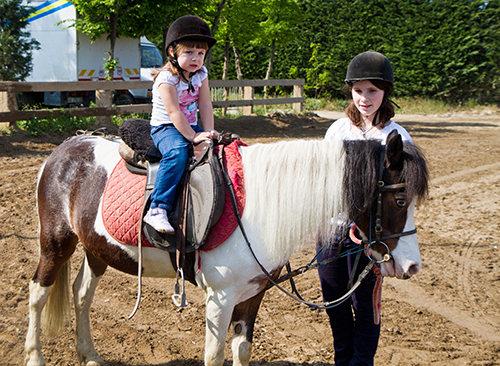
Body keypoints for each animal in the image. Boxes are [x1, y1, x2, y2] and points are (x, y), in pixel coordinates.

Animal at [25, 132, 428, 366]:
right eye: (400, 199)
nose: (411, 267)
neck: (257, 205)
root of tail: (63, 151)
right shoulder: (220, 299)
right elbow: (214, 355)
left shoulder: (253, 294)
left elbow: (242, 349)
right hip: (56, 242)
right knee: (38, 294)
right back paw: (35, 357)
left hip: (97, 250)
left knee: (81, 295)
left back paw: (89, 356)